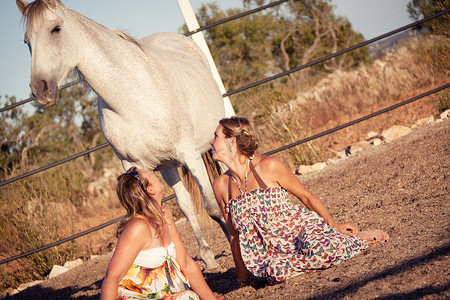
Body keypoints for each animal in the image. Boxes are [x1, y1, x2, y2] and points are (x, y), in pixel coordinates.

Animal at [16, 0, 230, 270]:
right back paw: (208, 257)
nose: (40, 89)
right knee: (186, 205)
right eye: (26, 40)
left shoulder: (190, 155)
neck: (133, 98)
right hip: (168, 166)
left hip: (211, 147)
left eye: (55, 29)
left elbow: (213, 206)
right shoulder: (133, 165)